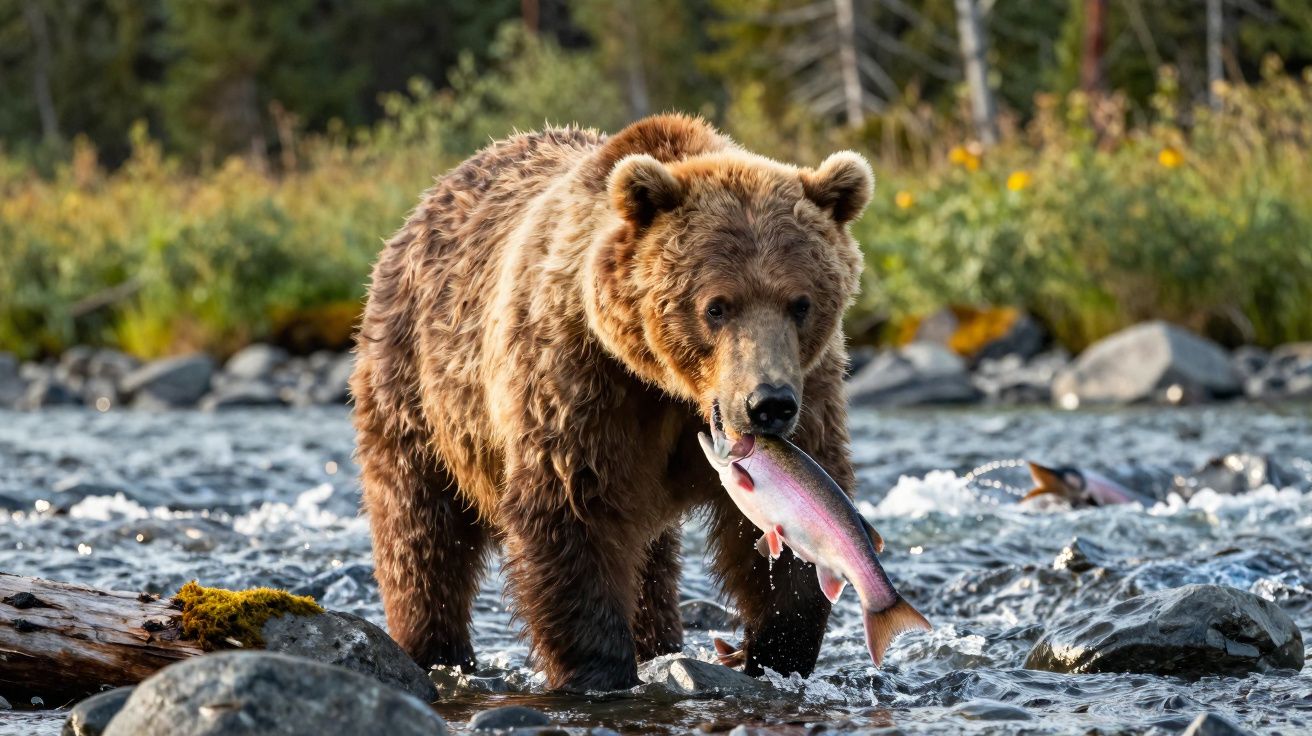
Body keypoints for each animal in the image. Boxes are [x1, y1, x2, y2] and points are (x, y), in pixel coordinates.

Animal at [350, 113, 872, 692]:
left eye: (800, 303)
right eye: (716, 306)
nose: (768, 403)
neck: (669, 385)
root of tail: (424, 205)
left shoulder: (811, 389)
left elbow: (785, 533)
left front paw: (776, 652)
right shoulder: (582, 381)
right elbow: (575, 515)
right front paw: (599, 669)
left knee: (649, 561)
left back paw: (658, 642)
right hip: (417, 387)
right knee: (421, 531)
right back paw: (435, 649)